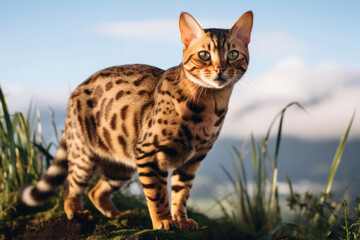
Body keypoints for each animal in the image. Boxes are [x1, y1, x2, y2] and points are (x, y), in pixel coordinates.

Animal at [19, 10, 253, 230]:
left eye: (233, 54)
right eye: (204, 55)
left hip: (121, 164)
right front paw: (163, 221)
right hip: (84, 155)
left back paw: (118, 215)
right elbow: (157, 194)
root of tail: (75, 90)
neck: (209, 105)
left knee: (96, 191)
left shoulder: (193, 159)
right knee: (71, 187)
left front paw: (180, 219)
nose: (220, 69)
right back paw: (76, 212)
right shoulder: (149, 152)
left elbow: (181, 193)